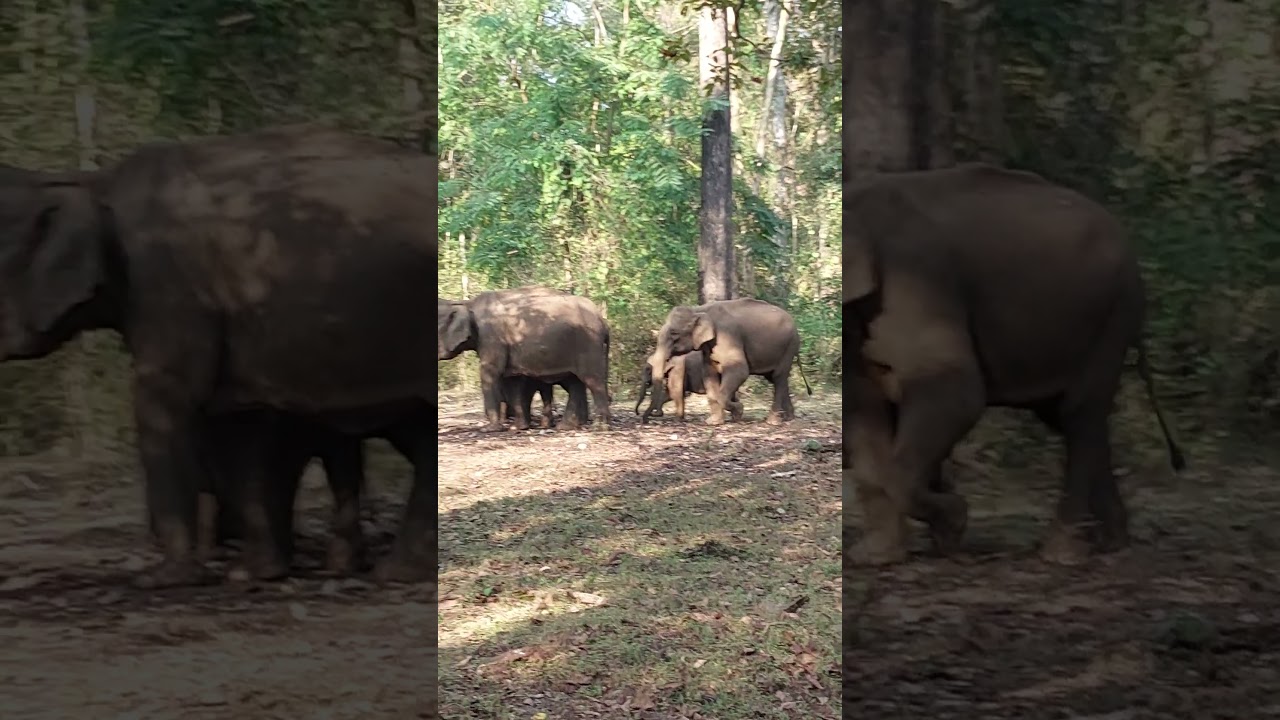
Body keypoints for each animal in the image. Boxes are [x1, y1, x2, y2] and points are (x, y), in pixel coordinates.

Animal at [0, 125, 437, 588]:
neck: (91, 182)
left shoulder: (170, 286)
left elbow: (165, 400)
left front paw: (166, 579)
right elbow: (235, 425)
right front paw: (251, 573)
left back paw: (396, 572)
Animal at [438, 287, 611, 431]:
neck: (467, 303)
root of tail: (603, 320)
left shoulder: (491, 337)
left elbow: (490, 373)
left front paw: (490, 429)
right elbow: (511, 381)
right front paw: (518, 428)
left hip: (588, 344)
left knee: (593, 380)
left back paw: (599, 427)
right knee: (576, 382)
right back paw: (567, 427)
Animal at [648, 298, 812, 426]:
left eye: (674, 333)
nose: (656, 414)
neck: (699, 310)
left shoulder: (728, 336)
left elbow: (740, 371)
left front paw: (739, 411)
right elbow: (709, 374)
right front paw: (714, 422)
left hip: (789, 346)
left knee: (778, 377)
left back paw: (773, 421)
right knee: (778, 379)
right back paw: (789, 417)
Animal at [844, 162, 1186, 568]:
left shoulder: (917, 276)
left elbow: (956, 393)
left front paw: (953, 526)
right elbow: (864, 410)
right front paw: (875, 556)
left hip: (1114, 313)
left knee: (1080, 413)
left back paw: (1061, 553)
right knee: (1071, 417)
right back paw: (1113, 541)